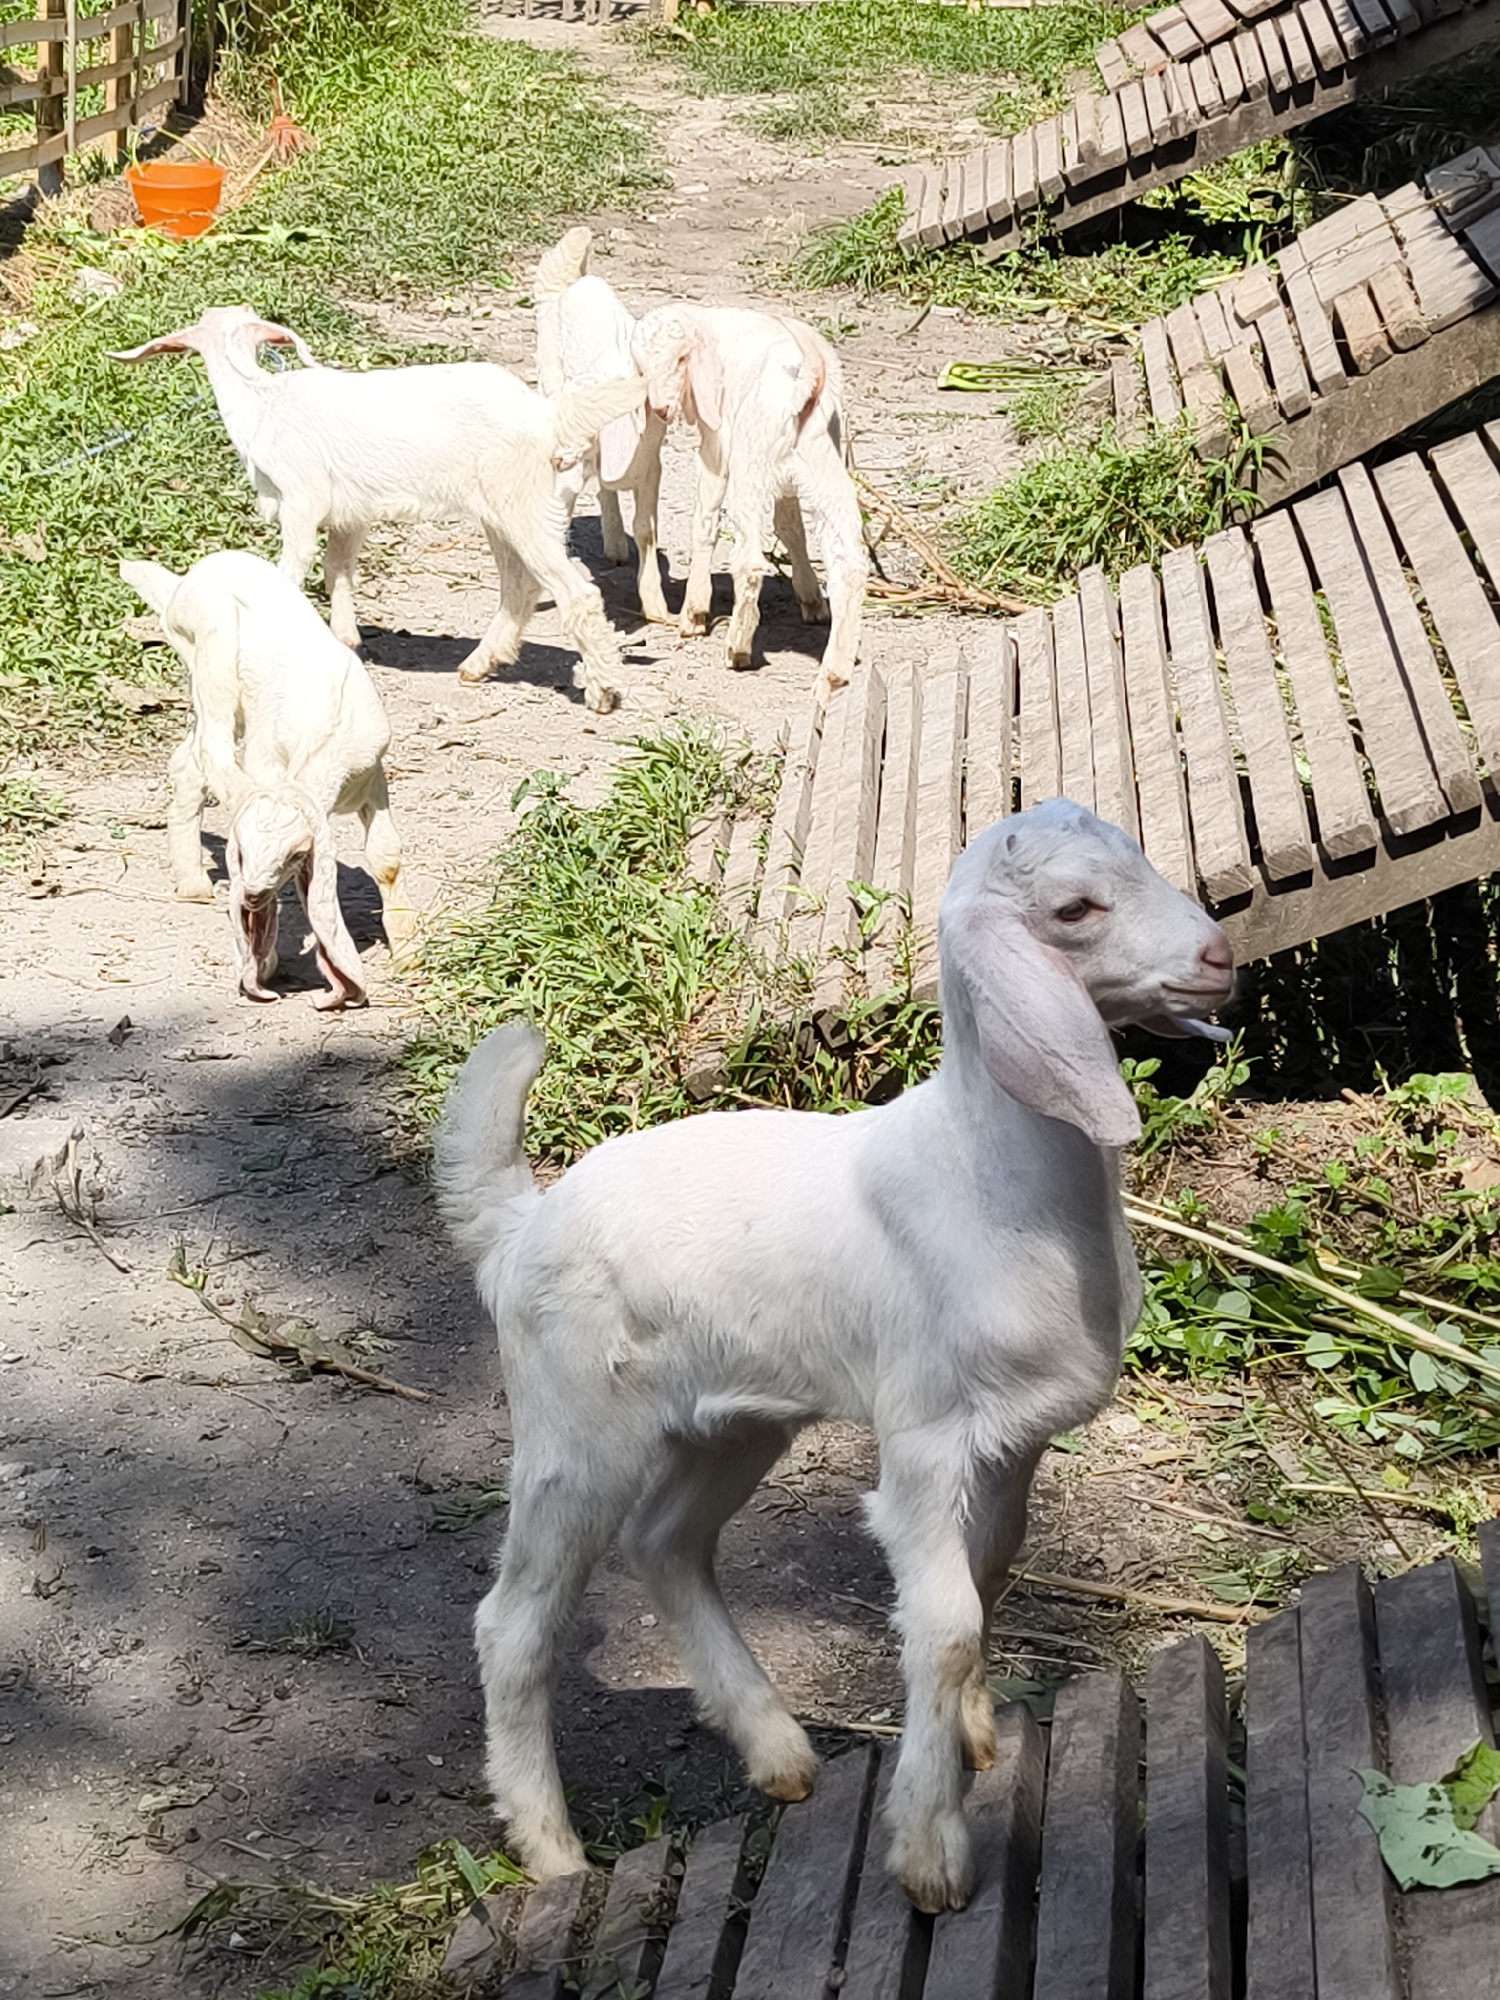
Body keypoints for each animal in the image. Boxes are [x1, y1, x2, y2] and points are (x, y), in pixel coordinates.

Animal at [111, 307, 648, 714]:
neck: (263, 403)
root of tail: (547, 415)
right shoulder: (351, 513)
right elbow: (337, 569)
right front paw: (346, 641)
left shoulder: (302, 499)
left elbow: (291, 570)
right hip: (509, 509)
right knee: (522, 585)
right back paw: (481, 664)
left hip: (520, 501)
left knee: (574, 591)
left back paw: (602, 691)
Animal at [121, 550, 414, 1010]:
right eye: (239, 854)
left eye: (297, 854)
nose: (254, 893)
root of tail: (186, 581)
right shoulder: (266, 763)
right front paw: (264, 963)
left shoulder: (372, 777)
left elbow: (386, 859)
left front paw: (407, 951)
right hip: (206, 653)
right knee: (206, 745)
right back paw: (193, 879)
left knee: (189, 761)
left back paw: (191, 881)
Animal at [434, 799, 1235, 1912]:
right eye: (1075, 908)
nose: (1219, 957)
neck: (991, 1180)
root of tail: (520, 1223)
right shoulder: (925, 1437)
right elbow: (944, 1623)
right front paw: (931, 1849)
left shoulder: (1014, 1436)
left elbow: (989, 1573)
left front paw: (973, 1736)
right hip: (575, 1426)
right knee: (514, 1621)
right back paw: (550, 1849)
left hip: (734, 1419)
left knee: (666, 1540)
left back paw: (778, 1750)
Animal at [534, 228, 671, 626]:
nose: (556, 457)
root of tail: (576, 281)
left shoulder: (651, 463)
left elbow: (645, 529)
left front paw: (655, 606)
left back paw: (615, 543)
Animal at [631, 302, 866, 703]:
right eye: (642, 368)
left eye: (681, 359)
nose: (659, 409)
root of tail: (807, 378)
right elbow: (791, 528)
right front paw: (812, 602)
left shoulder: (717, 443)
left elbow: (705, 518)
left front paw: (693, 614)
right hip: (825, 467)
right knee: (848, 564)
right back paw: (833, 675)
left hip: (751, 462)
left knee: (752, 560)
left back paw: (737, 648)